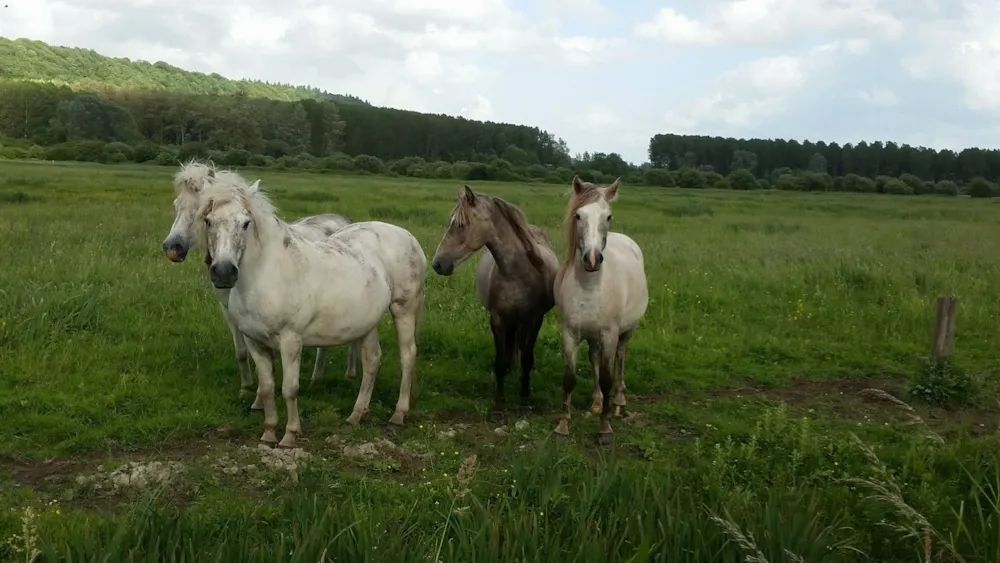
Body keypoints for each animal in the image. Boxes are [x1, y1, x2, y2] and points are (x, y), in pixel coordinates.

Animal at [158, 161, 358, 412]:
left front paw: (260, 398)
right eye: (177, 205)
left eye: (199, 211)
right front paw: (247, 389)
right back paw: (317, 377)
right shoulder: (230, 313)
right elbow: (243, 352)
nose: (172, 248)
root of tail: (345, 220)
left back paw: (347, 374)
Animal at [195, 172, 426, 450]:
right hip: (367, 322)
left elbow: (289, 389)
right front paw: (269, 432)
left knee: (408, 356)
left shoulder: (290, 340)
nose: (224, 272)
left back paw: (398, 414)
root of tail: (408, 236)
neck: (267, 274)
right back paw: (356, 415)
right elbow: (267, 387)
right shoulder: (254, 342)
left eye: (246, 223)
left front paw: (290, 435)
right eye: (208, 220)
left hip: (404, 309)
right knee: (372, 360)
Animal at [428, 186, 560, 424]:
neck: (517, 272)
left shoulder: (534, 320)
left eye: (461, 225)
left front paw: (524, 402)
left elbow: (527, 359)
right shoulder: (498, 319)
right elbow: (500, 362)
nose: (438, 264)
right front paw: (499, 407)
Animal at [556, 176, 648, 446]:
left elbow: (607, 378)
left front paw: (604, 428)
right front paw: (563, 424)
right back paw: (597, 401)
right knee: (595, 358)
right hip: (593, 336)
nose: (593, 259)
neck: (589, 287)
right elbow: (569, 378)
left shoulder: (609, 334)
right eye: (578, 215)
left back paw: (617, 402)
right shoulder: (570, 334)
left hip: (627, 331)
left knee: (620, 358)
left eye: (608, 216)